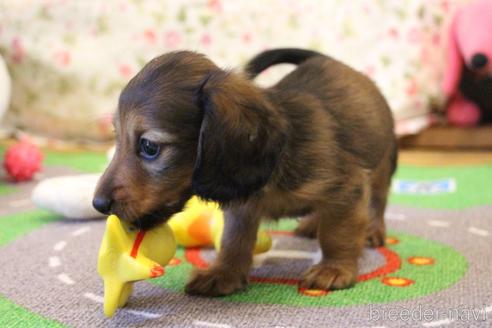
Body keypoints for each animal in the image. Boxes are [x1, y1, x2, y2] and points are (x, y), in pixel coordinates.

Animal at [93, 48, 396, 298]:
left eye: (149, 146)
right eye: (116, 138)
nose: (99, 204)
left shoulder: (347, 186)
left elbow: (338, 233)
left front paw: (333, 269)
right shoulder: (242, 208)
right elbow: (233, 241)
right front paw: (224, 273)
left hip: (382, 167)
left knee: (377, 203)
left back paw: (372, 229)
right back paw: (312, 223)